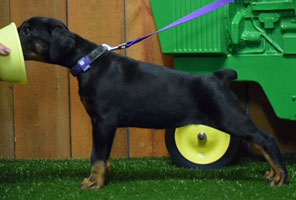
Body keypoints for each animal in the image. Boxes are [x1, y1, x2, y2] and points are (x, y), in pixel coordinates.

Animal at [17, 17, 290, 189]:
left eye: (28, 31)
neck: (87, 62)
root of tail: (218, 78)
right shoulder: (103, 124)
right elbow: (104, 157)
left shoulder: (103, 121)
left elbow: (97, 156)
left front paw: (94, 182)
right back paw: (272, 172)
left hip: (229, 117)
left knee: (266, 138)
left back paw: (281, 176)